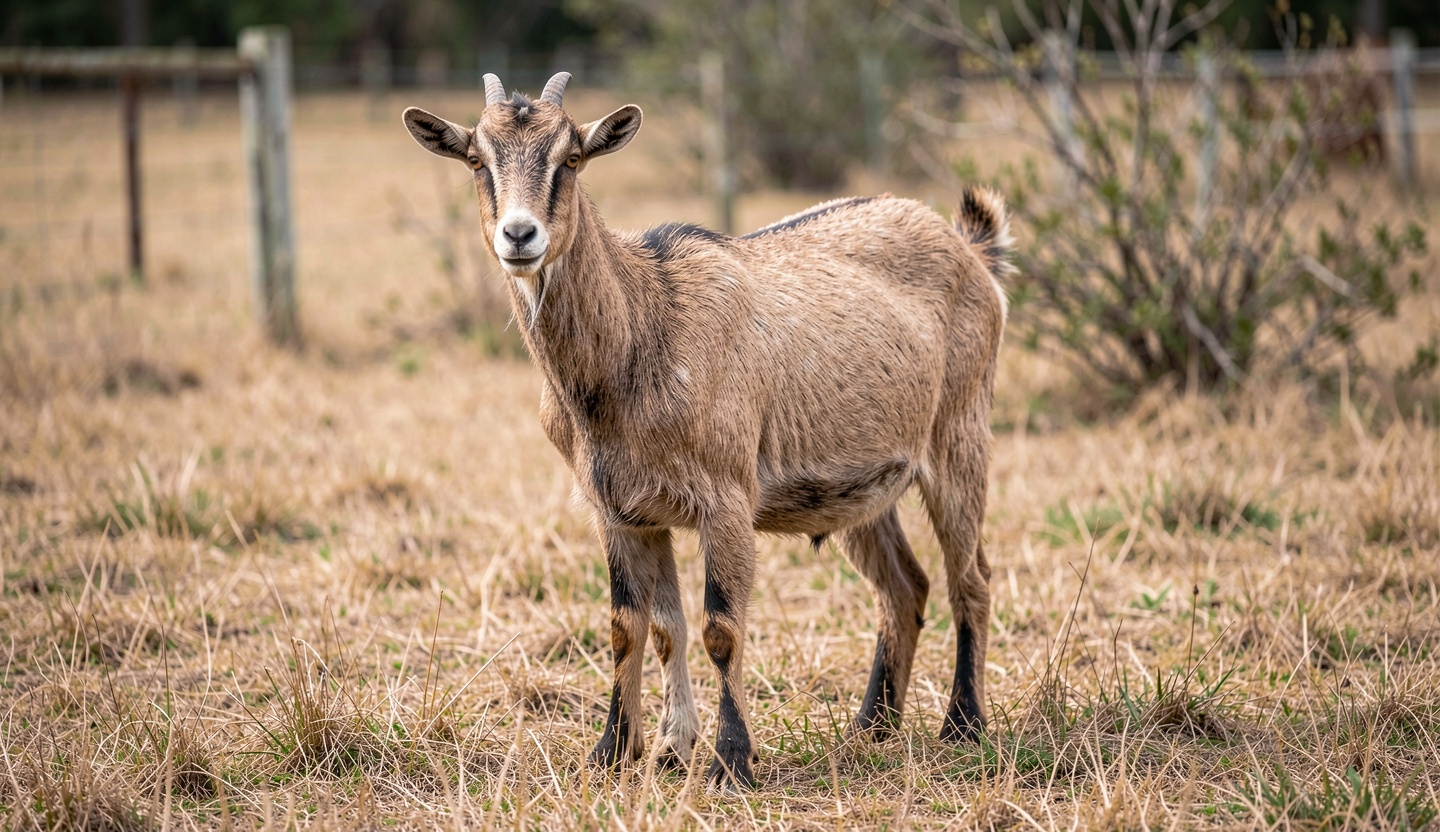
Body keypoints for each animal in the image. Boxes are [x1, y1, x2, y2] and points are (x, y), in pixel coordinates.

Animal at [402, 72, 1011, 789]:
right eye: (477, 159)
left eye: (571, 157)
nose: (519, 235)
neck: (643, 331)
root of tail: (971, 248)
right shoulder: (625, 509)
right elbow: (640, 626)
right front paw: (634, 750)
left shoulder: (725, 498)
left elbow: (722, 626)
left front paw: (731, 759)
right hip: (861, 484)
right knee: (904, 586)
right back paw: (870, 727)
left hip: (959, 435)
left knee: (970, 577)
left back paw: (963, 725)